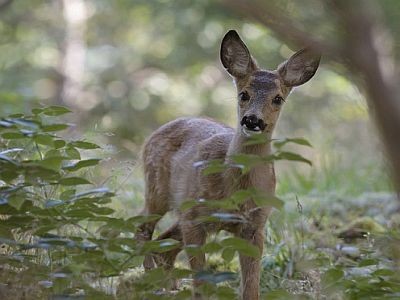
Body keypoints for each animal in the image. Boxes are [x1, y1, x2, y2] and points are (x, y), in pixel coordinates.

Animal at [136, 30, 320, 300]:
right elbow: (201, 282)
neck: (234, 188)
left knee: (164, 243)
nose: (252, 120)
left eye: (278, 99)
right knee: (143, 227)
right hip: (158, 189)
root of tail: (150, 136)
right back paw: (151, 282)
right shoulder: (194, 217)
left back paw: (169, 285)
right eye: (243, 94)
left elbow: (251, 286)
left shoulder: (255, 224)